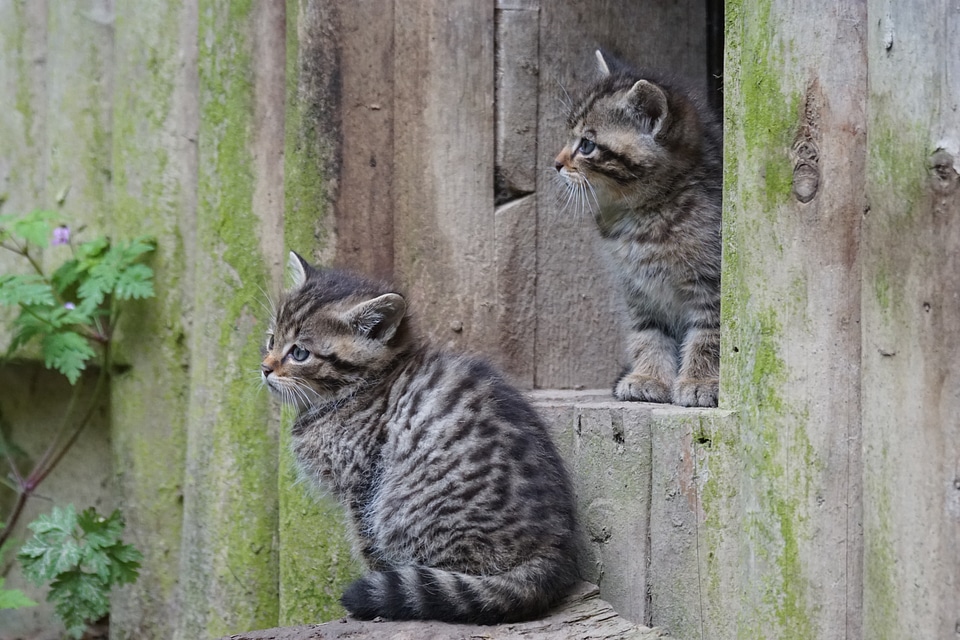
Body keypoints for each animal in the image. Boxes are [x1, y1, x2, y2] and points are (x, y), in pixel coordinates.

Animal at [258, 252, 576, 624]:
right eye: (271, 340)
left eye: (299, 353)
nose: (265, 368)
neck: (360, 387)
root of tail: (553, 546)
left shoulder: (363, 486)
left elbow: (367, 543)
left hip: (404, 508)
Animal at [556, 51, 720, 410]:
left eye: (586, 145)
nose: (556, 163)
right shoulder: (637, 290)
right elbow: (648, 332)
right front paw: (648, 377)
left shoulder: (711, 283)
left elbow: (709, 331)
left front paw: (702, 381)